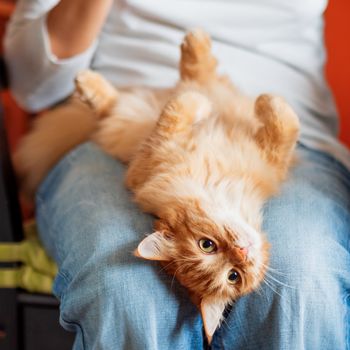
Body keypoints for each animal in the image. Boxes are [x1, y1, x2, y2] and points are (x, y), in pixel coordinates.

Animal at [13, 29, 298, 342]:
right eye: (208, 246)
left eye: (234, 275)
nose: (243, 253)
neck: (220, 184)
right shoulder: (151, 158)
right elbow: (182, 108)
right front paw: (207, 100)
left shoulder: (267, 157)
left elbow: (277, 118)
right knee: (114, 105)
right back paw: (91, 80)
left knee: (118, 103)